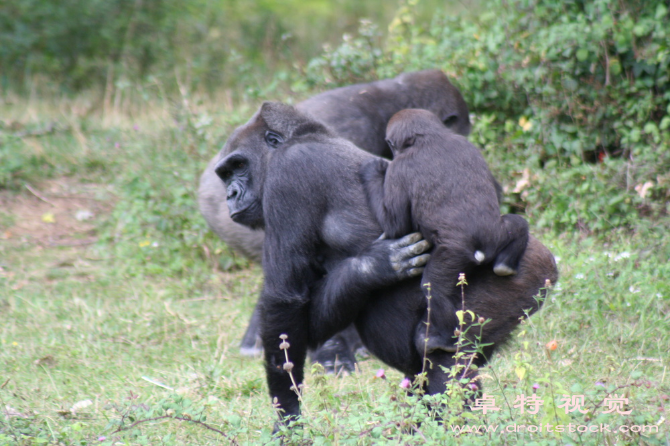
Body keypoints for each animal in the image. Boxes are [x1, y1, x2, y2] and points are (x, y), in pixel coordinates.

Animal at [200, 69, 472, 362]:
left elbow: (287, 299)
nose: (230, 194)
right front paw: (372, 267)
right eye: (226, 174)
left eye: (239, 165)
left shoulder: (289, 173)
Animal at [362, 108, 532, 352]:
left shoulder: (398, 168)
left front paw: (373, 171)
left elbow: (395, 226)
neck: (428, 137)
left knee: (433, 288)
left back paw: (444, 339)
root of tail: (485, 249)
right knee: (517, 224)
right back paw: (506, 264)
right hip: (498, 233)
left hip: (455, 252)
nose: (391, 151)